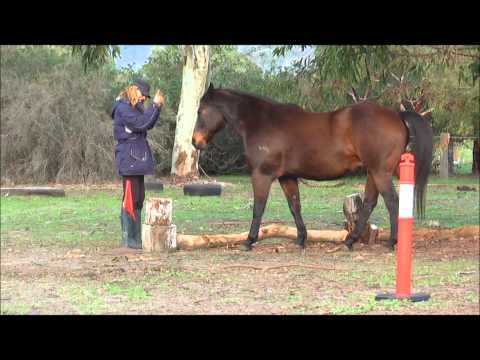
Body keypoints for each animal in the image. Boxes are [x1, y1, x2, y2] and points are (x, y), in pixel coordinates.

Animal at [192, 84, 436, 252]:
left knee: (392, 202)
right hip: (373, 173)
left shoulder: (262, 175)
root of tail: (397, 115)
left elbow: (258, 208)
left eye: (200, 111)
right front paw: (301, 239)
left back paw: (392, 242)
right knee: (369, 203)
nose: (195, 142)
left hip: (380, 172)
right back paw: (349, 241)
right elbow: (295, 206)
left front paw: (249, 241)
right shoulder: (287, 177)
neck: (261, 122)